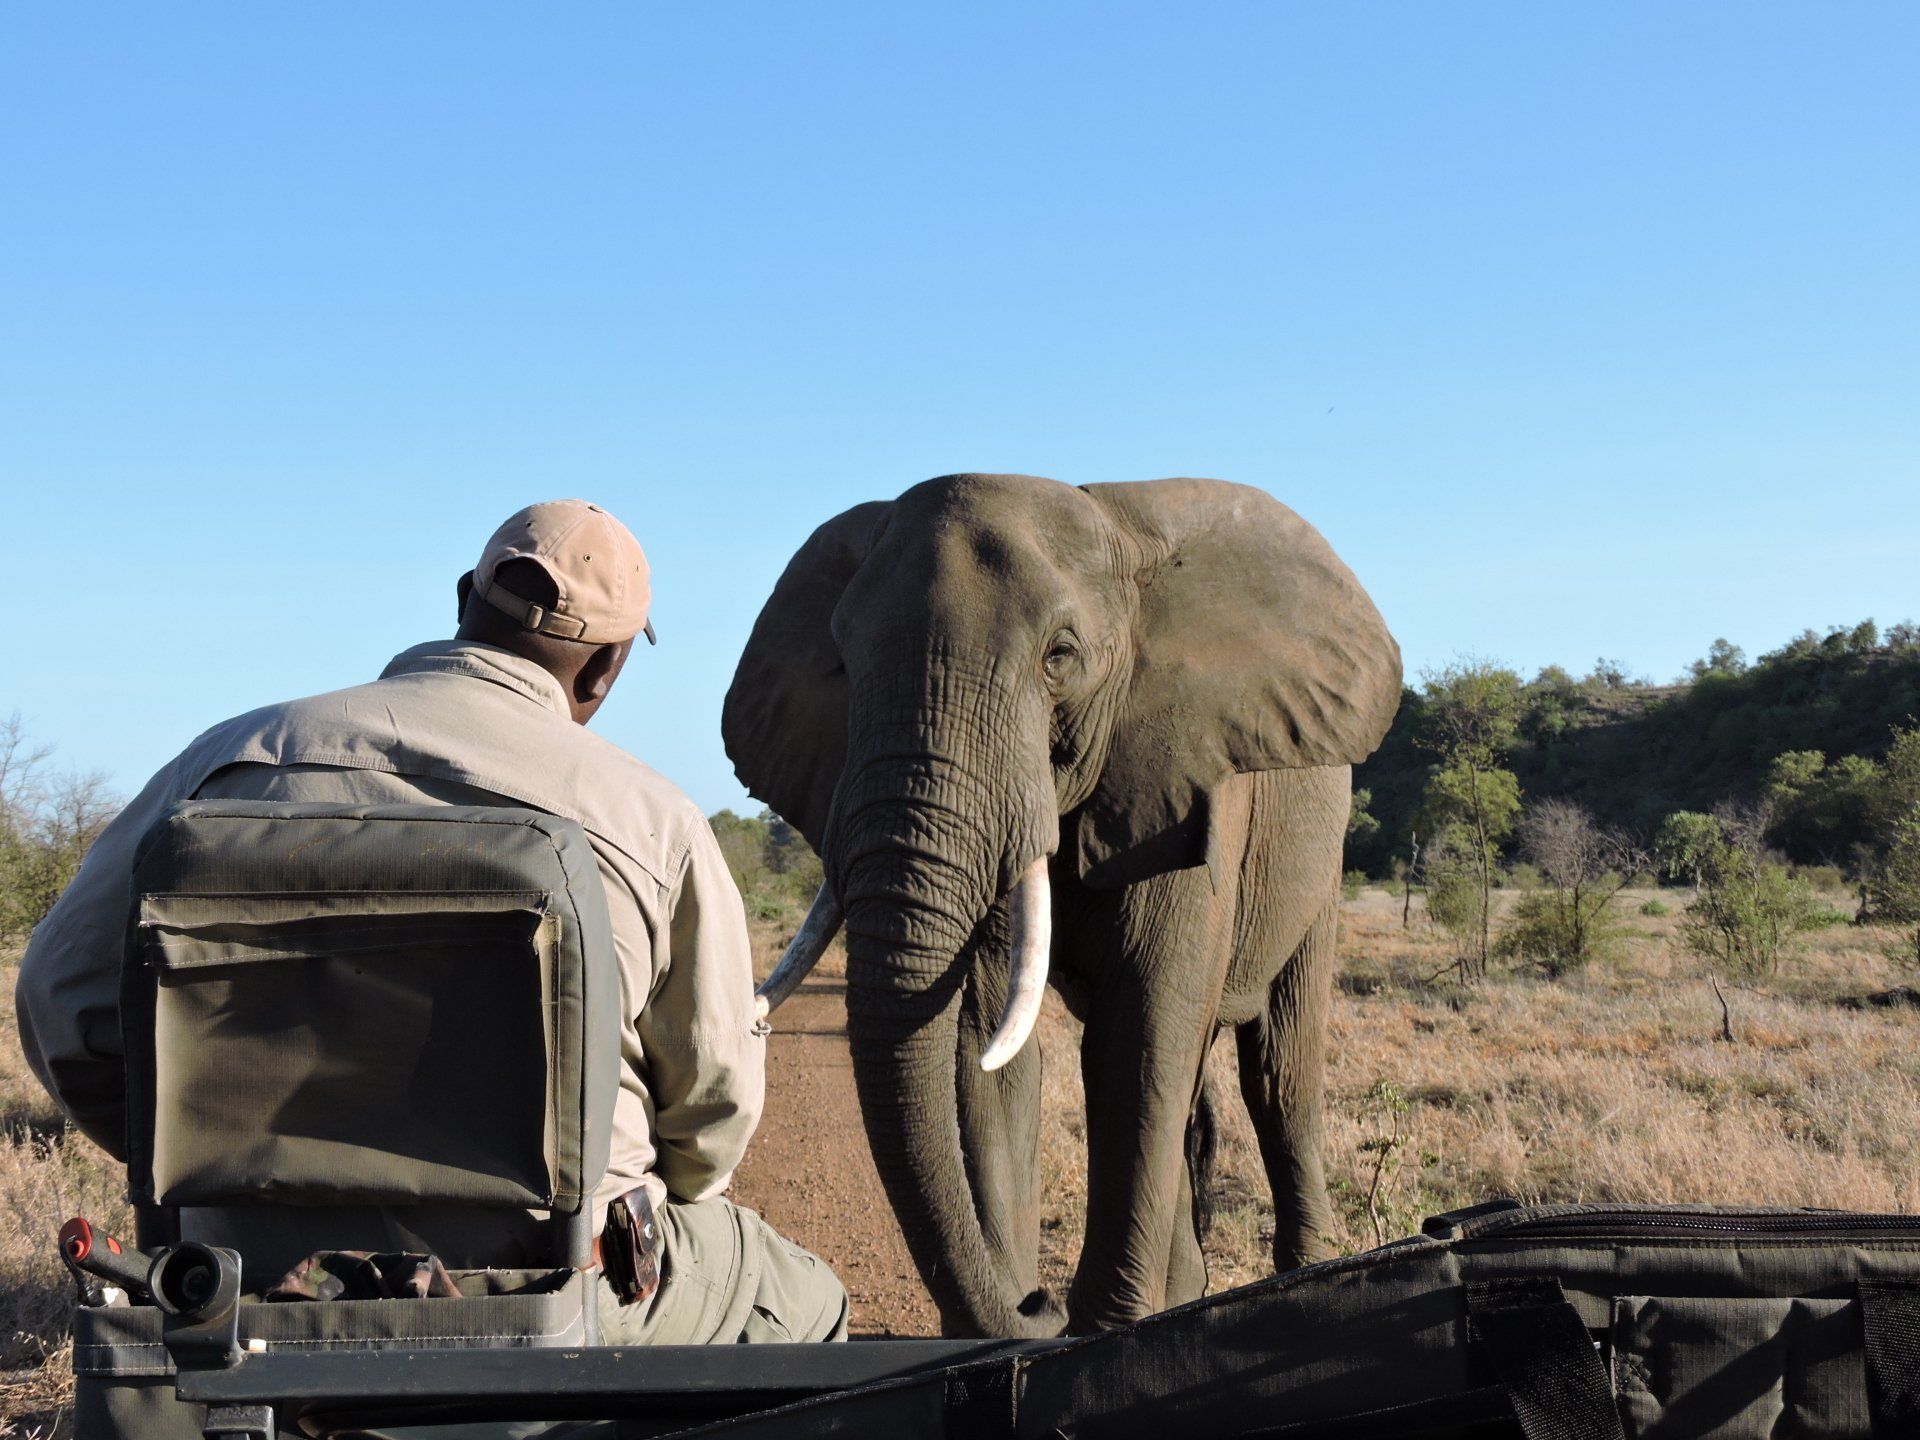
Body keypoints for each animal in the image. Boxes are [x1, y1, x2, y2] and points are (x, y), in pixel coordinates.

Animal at [722, 473, 1401, 1338]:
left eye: (1060, 657)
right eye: (842, 665)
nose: (1036, 1302)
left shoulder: (1189, 780)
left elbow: (1141, 1031)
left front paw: (1106, 1328)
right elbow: (983, 1045)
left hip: (1320, 856)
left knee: (1279, 1068)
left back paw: (1304, 1273)